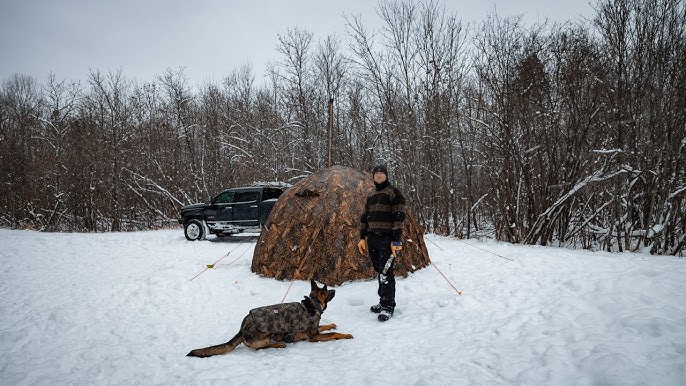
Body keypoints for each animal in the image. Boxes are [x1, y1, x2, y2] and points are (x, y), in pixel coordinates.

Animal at [187, 278, 352, 358]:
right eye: (328, 291)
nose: (334, 290)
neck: (312, 304)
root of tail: (242, 330)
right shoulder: (314, 337)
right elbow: (333, 334)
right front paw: (346, 334)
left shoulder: (315, 330)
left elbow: (324, 326)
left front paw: (331, 324)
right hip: (265, 335)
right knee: (261, 347)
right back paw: (277, 344)